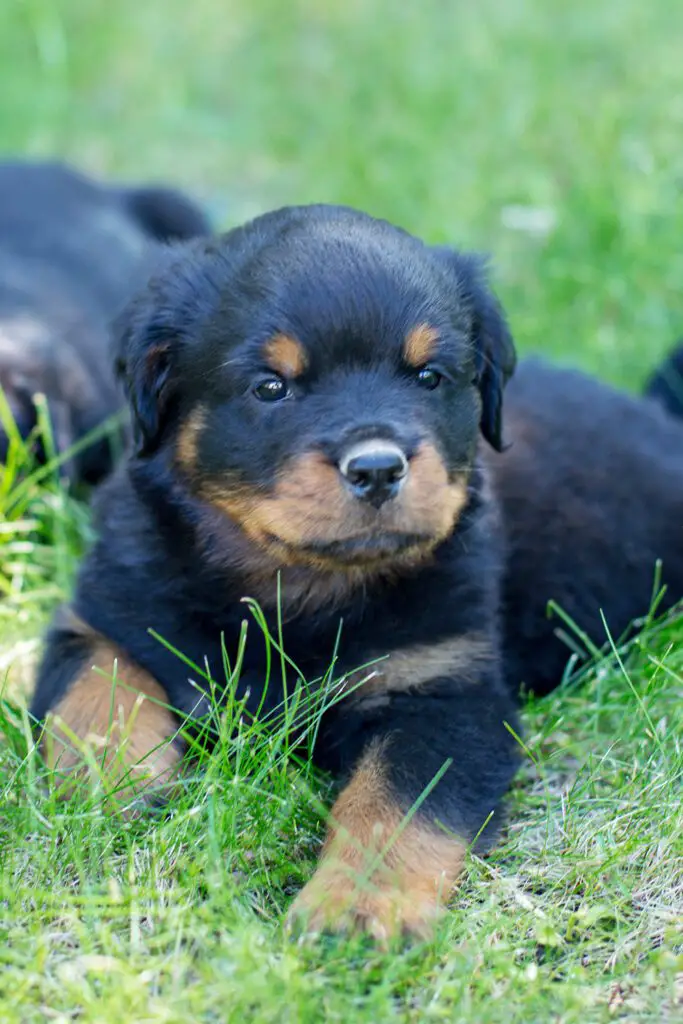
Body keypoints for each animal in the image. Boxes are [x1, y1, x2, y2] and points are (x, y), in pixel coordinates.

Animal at [29, 203, 683, 937]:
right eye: (270, 387)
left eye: (429, 377)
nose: (376, 468)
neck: (296, 588)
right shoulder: (104, 614)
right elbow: (96, 692)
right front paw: (112, 785)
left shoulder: (442, 691)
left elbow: (393, 809)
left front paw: (357, 910)